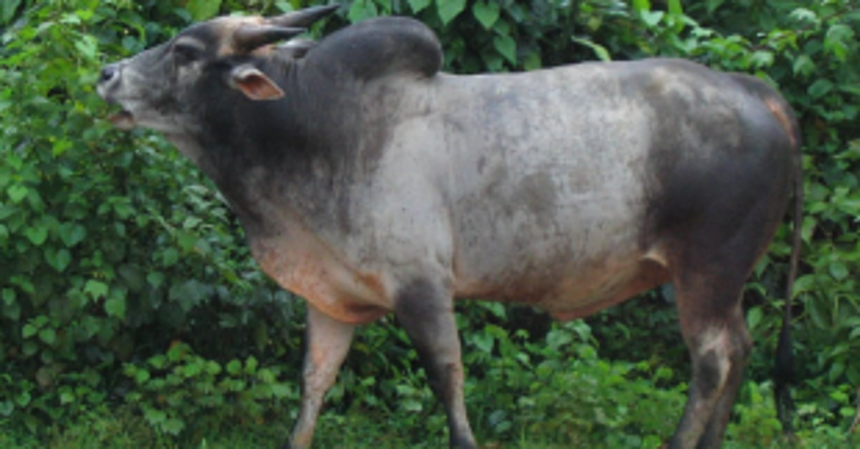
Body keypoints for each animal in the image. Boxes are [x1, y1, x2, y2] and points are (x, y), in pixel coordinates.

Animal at [97, 5, 802, 448]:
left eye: (185, 51)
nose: (106, 74)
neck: (317, 126)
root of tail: (753, 88)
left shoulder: (423, 289)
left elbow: (447, 379)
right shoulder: (332, 299)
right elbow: (313, 385)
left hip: (706, 271)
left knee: (712, 361)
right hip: (725, 282)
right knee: (739, 352)